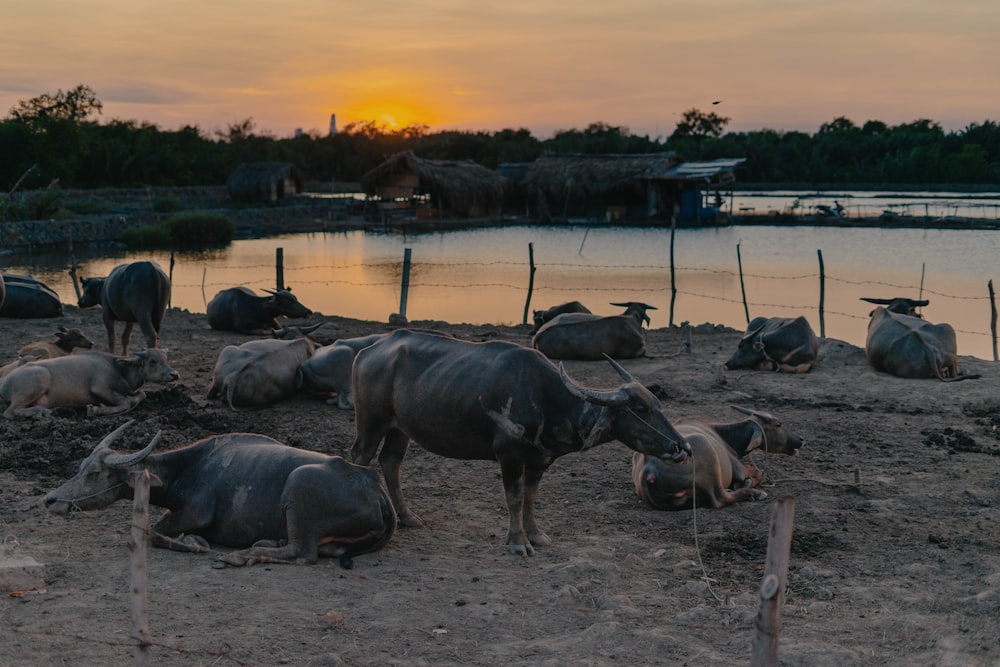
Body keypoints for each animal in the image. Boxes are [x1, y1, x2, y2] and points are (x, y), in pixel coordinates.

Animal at [0, 350, 178, 418]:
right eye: (152, 361)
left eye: (166, 358)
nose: (175, 374)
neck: (120, 370)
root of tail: (5, 382)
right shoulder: (100, 387)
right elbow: (125, 402)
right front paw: (96, 409)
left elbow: (142, 394)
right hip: (40, 379)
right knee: (10, 412)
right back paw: (41, 411)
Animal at [43, 420, 396, 568]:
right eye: (80, 466)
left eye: (94, 473)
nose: (50, 500)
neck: (189, 467)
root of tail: (374, 488)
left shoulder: (194, 513)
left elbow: (148, 532)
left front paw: (194, 543)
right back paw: (266, 544)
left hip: (299, 485)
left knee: (304, 553)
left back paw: (240, 556)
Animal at [348, 330, 692, 560]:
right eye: (641, 409)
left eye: (657, 404)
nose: (681, 447)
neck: (546, 397)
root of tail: (369, 350)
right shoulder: (509, 454)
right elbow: (513, 497)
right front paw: (518, 541)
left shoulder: (540, 459)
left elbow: (530, 497)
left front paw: (536, 535)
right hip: (371, 423)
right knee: (360, 459)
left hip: (400, 429)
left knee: (391, 463)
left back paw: (407, 516)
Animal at [632, 408, 804, 512]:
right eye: (778, 424)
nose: (800, 439)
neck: (722, 434)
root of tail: (648, 468)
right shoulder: (741, 470)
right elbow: (756, 475)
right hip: (710, 460)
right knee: (719, 499)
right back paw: (753, 494)